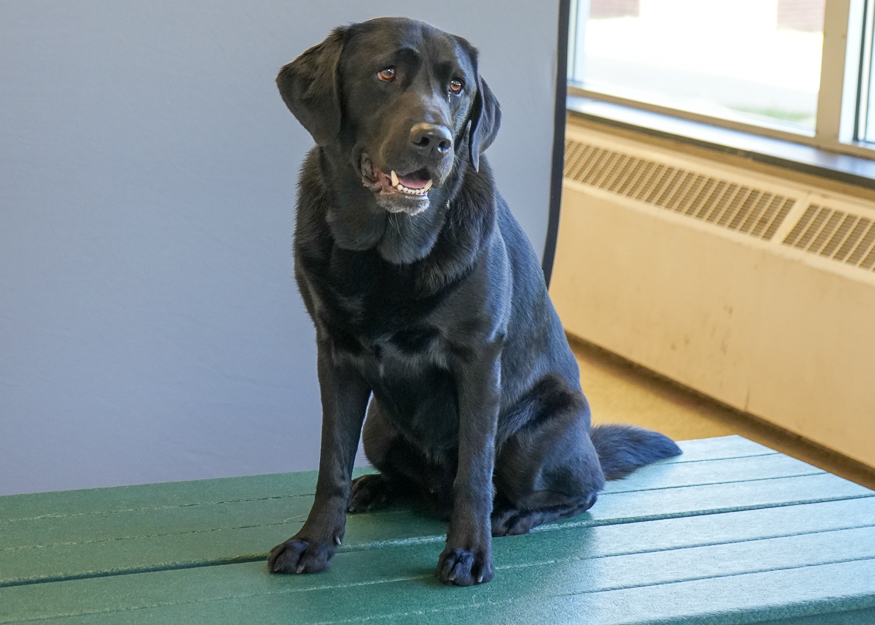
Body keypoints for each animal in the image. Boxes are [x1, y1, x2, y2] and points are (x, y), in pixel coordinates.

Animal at [268, 18, 684, 584]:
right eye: (386, 73)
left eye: (457, 87)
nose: (436, 140)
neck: (387, 253)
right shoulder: (334, 355)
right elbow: (331, 458)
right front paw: (313, 542)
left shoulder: (479, 358)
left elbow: (474, 471)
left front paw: (468, 552)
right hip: (379, 426)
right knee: (401, 473)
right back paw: (376, 486)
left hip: (533, 439)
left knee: (582, 491)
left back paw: (512, 514)